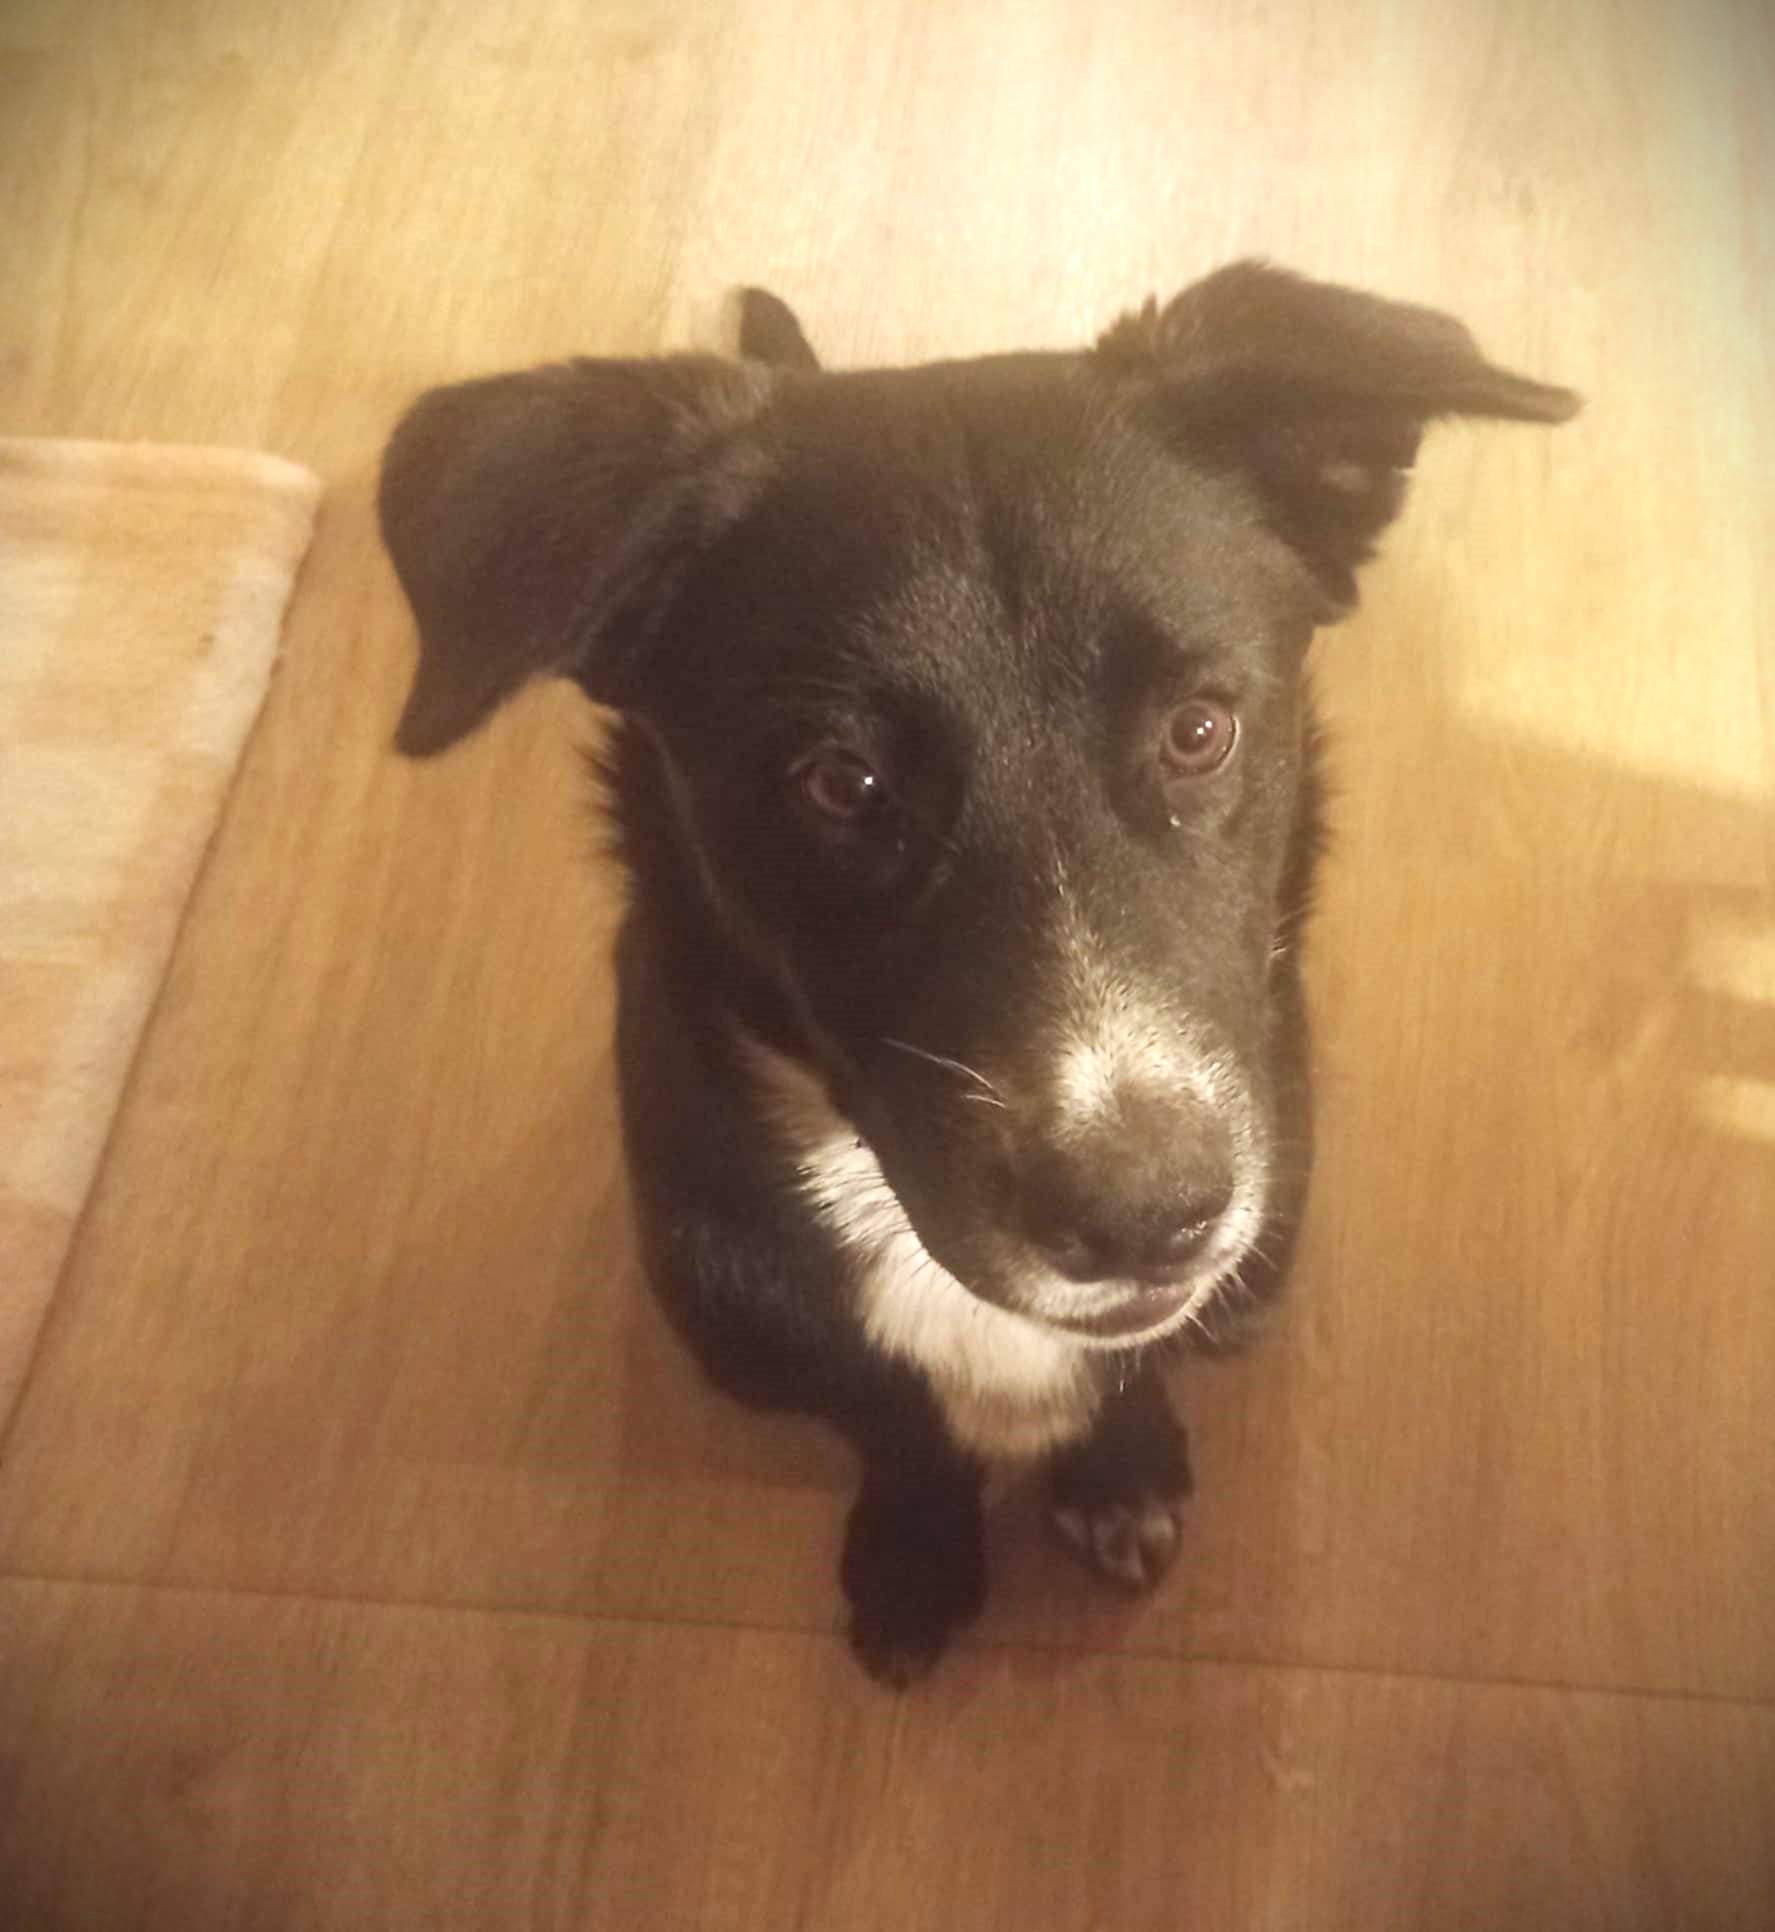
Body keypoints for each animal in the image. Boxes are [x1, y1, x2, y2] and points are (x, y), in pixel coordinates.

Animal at [380, 263, 1576, 1684]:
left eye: (1199, 731)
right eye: (841, 784)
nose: (1140, 1216)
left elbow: (1133, 1370)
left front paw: (1117, 1472)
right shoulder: (773, 1322)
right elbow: (891, 1418)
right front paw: (915, 1551)